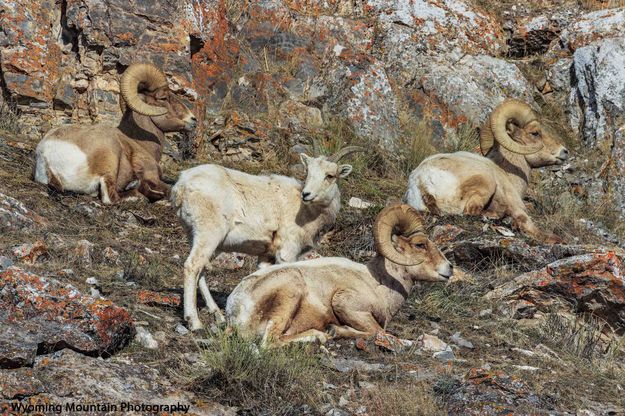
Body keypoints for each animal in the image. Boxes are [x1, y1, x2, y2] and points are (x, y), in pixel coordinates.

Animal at [34, 63, 195, 203]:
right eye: (163, 98)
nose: (193, 119)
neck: (140, 143)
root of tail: (46, 156)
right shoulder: (152, 174)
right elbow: (169, 188)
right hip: (111, 158)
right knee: (110, 198)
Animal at [172, 145, 366, 330]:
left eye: (330, 175)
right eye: (308, 172)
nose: (306, 194)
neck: (306, 212)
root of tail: (182, 185)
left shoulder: (266, 255)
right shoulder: (287, 253)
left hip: (199, 237)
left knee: (201, 270)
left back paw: (217, 315)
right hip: (208, 234)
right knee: (192, 266)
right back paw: (194, 322)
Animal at [227, 204, 450, 344]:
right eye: (420, 244)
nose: (449, 269)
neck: (378, 285)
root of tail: (236, 309)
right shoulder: (349, 306)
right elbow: (376, 331)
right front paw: (336, 330)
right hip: (290, 292)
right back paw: (320, 335)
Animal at [404, 99, 572, 244]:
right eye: (535, 133)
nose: (564, 151)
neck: (508, 175)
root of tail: (422, 181)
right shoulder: (519, 209)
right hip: (486, 182)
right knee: (473, 211)